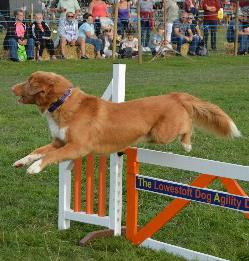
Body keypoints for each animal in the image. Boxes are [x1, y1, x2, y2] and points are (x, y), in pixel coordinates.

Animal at [10, 70, 240, 175]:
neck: (61, 104)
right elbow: (38, 150)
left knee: (188, 124)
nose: (11, 87)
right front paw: (23, 161)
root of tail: (174, 96)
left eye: (29, 81)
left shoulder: (78, 147)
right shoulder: (59, 142)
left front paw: (35, 168)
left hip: (163, 133)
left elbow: (51, 156)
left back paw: (187, 144)